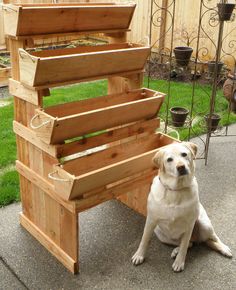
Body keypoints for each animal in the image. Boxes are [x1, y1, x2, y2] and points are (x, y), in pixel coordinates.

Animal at [132, 142, 231, 272]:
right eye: (169, 159)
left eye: (184, 154)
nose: (181, 167)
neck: (176, 190)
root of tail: (198, 239)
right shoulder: (151, 220)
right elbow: (144, 239)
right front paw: (139, 255)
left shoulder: (189, 225)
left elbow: (184, 246)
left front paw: (179, 262)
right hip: (160, 234)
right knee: (191, 243)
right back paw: (176, 250)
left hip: (204, 224)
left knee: (211, 238)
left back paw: (224, 248)